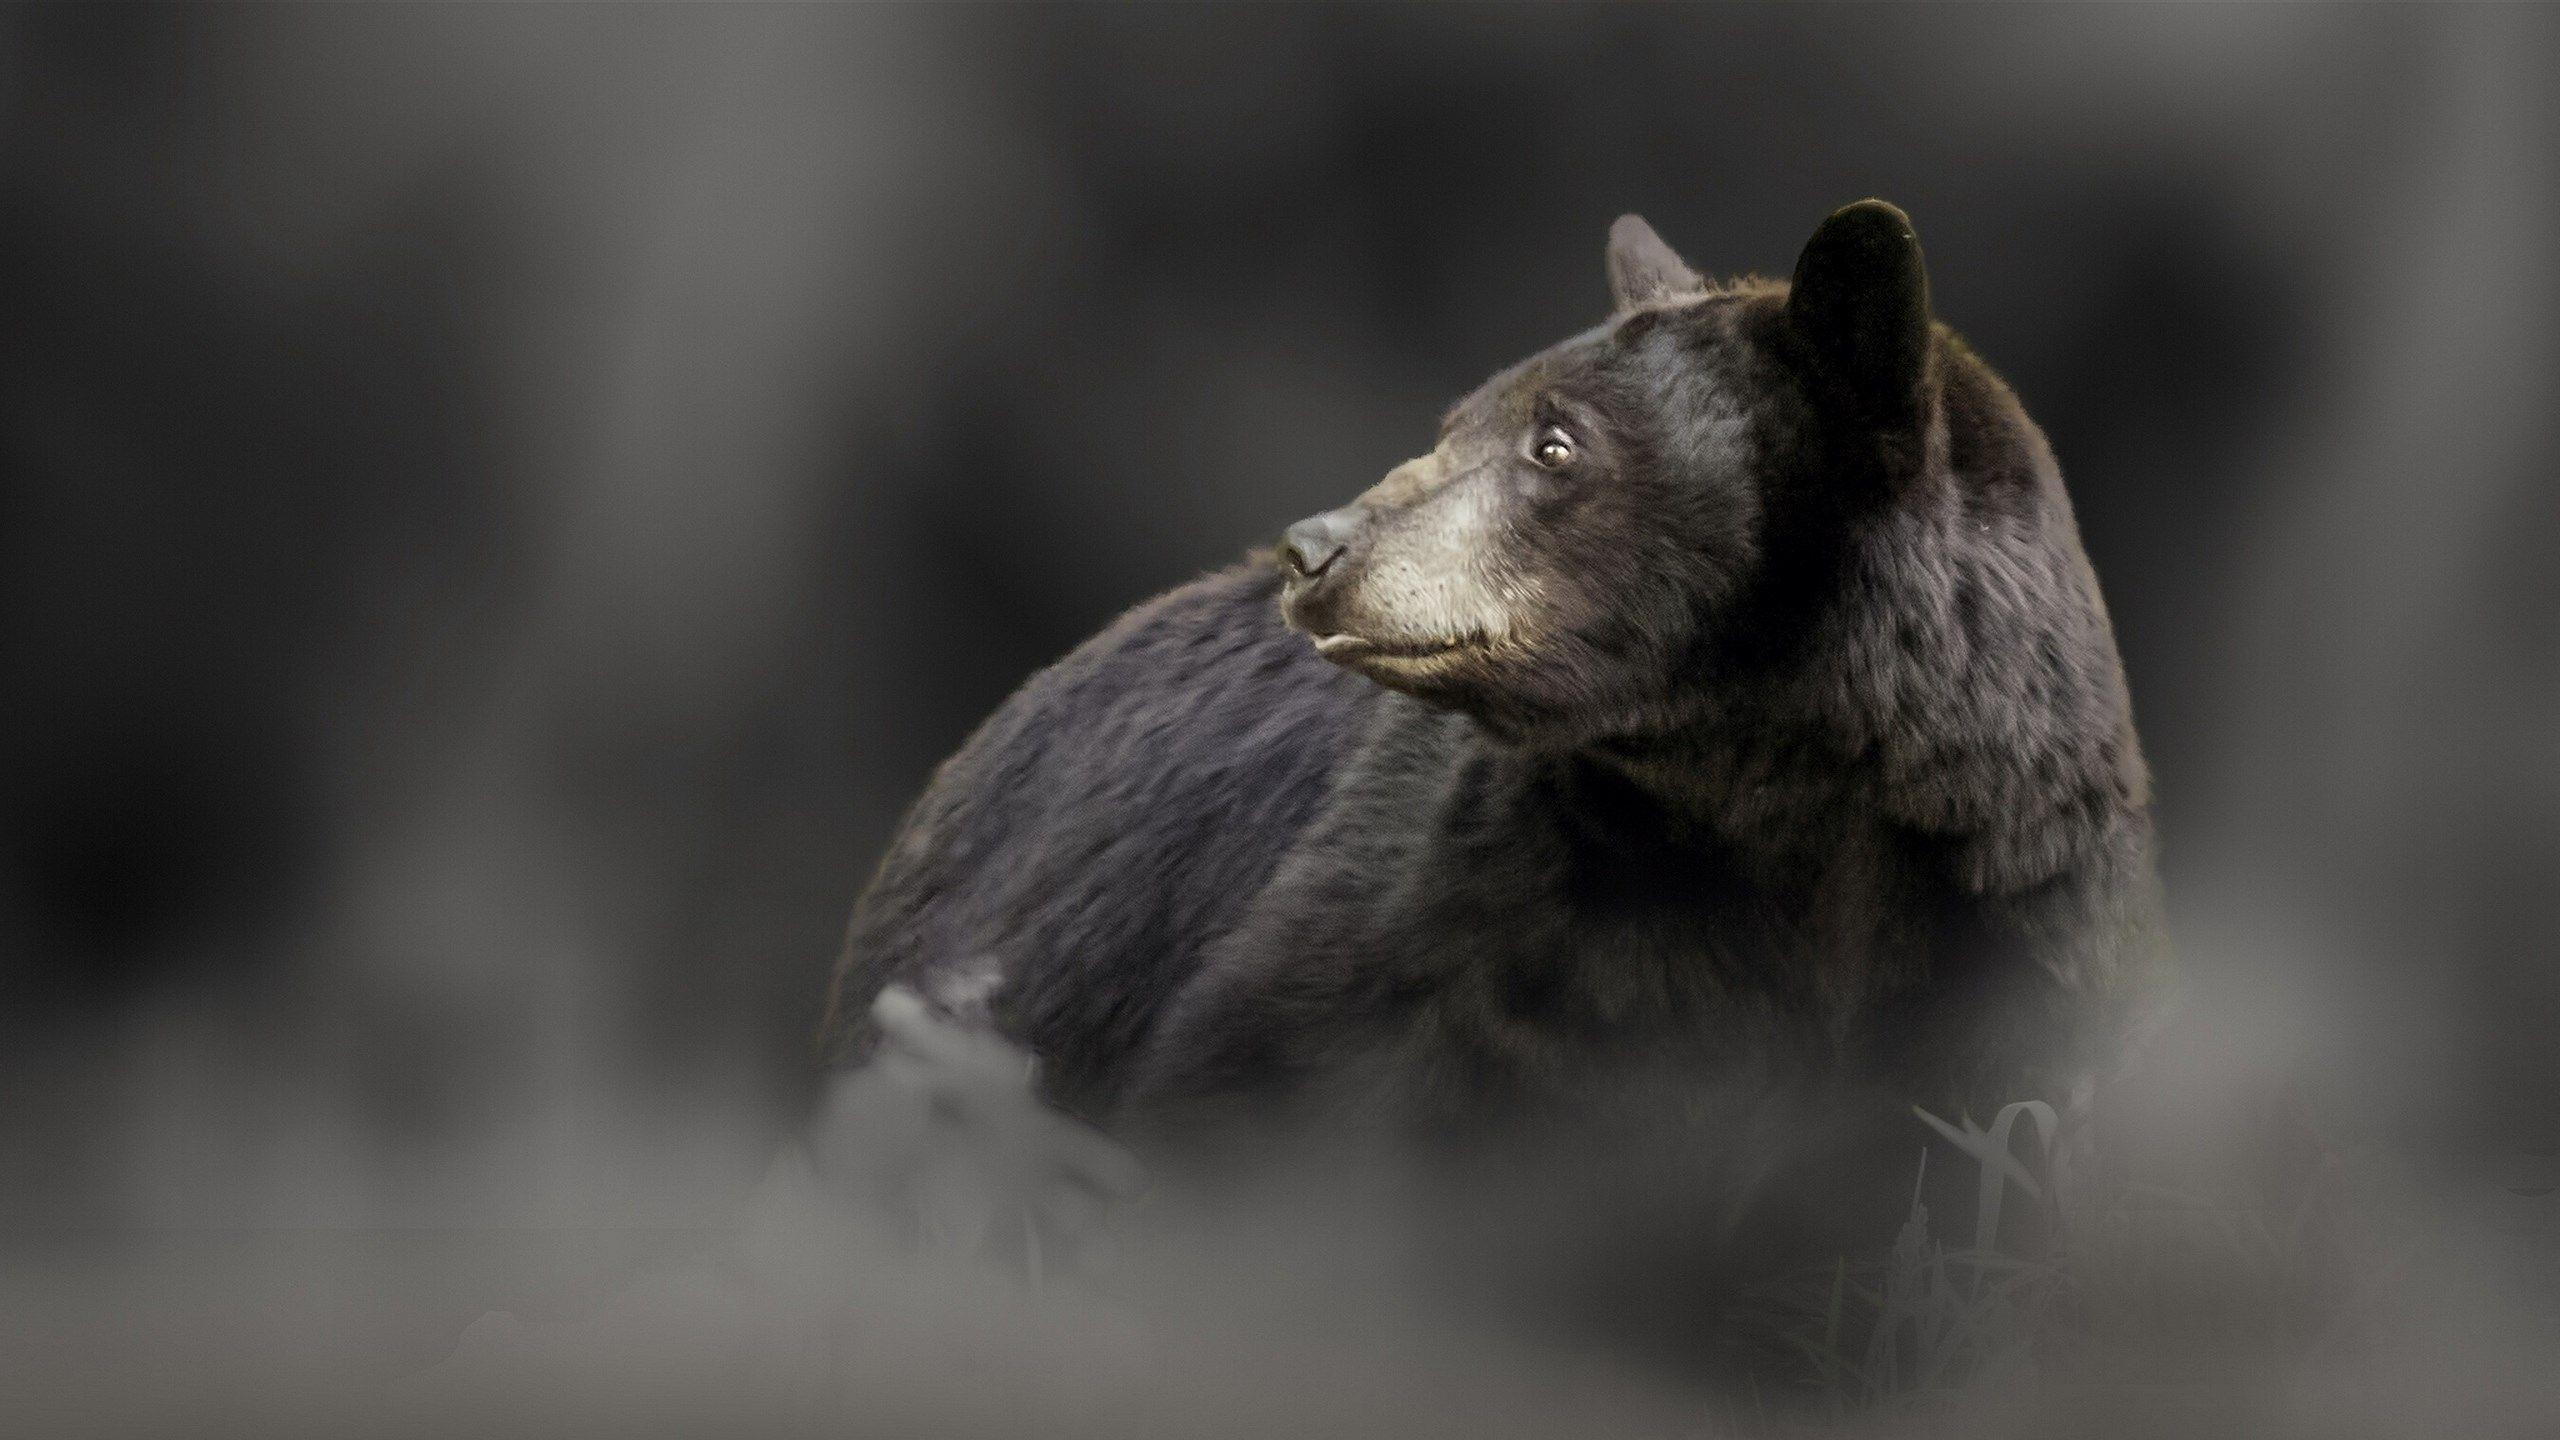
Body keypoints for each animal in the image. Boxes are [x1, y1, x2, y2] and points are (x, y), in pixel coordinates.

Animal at [818, 201, 2164, 1358]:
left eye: (1554, 442)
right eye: (1454, 418)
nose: (1318, 547)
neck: (1761, 800)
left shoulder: (2004, 931)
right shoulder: (1474, 908)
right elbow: (1260, 1085)